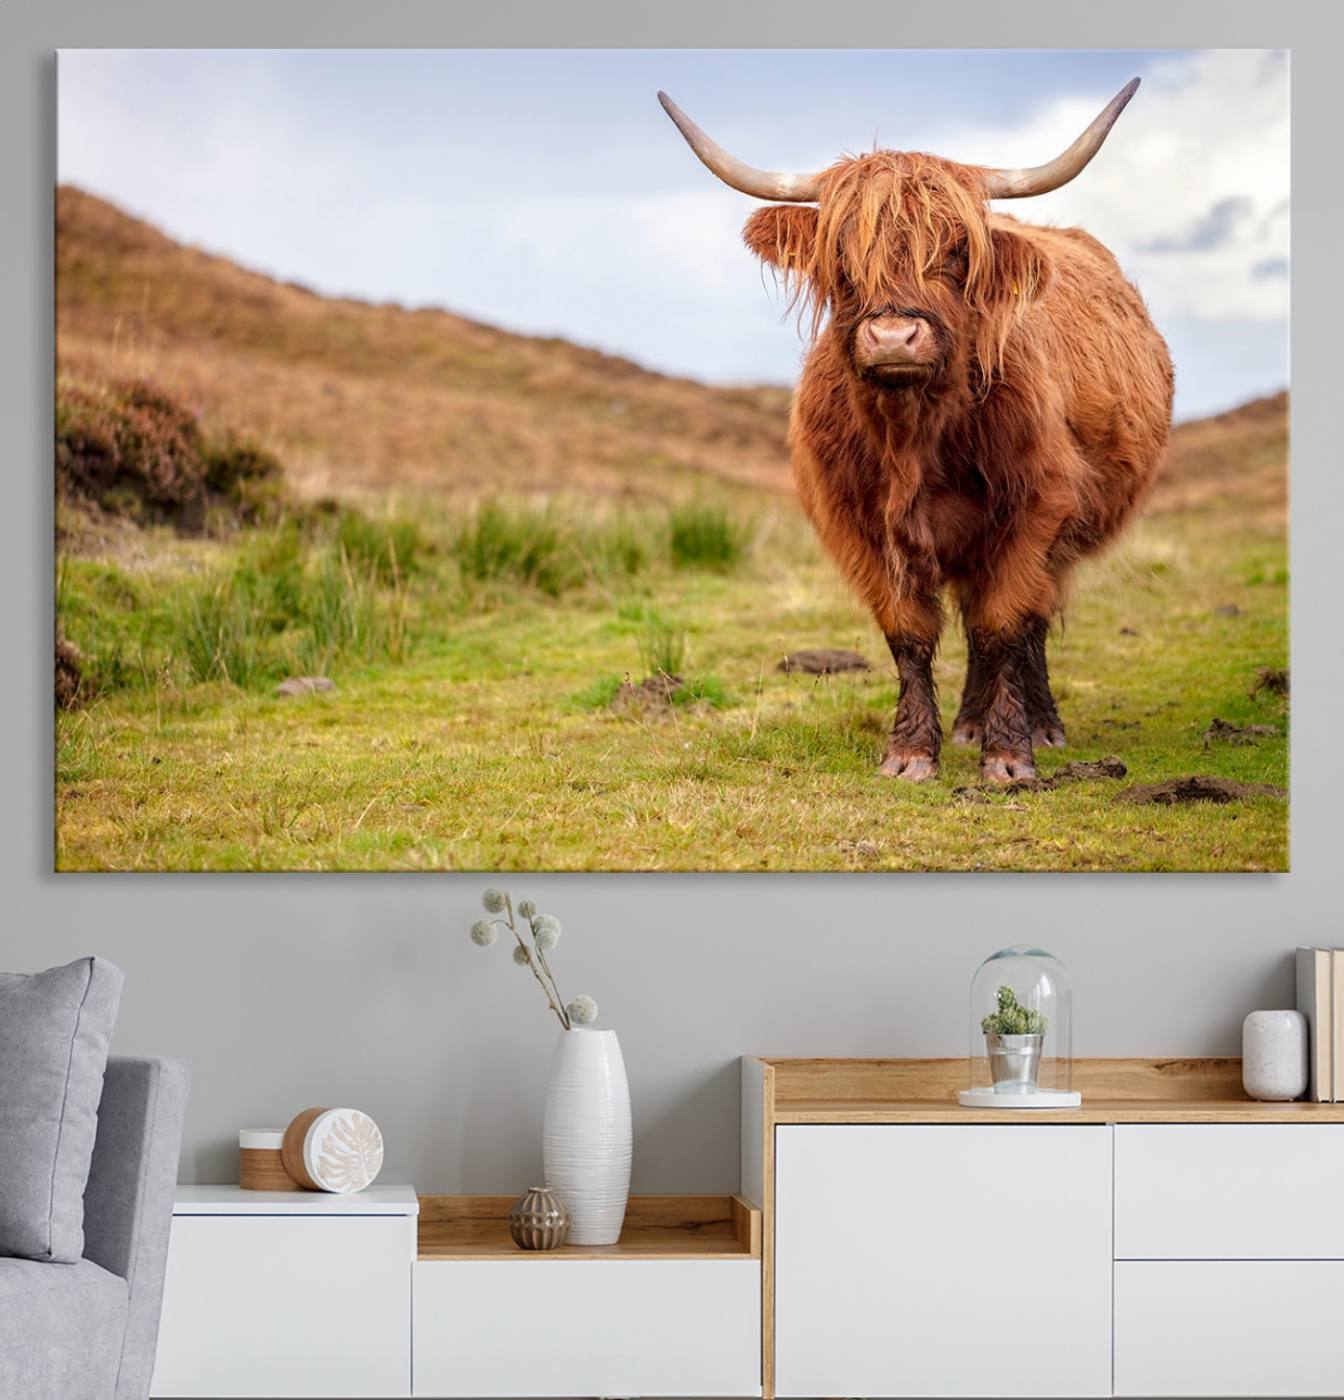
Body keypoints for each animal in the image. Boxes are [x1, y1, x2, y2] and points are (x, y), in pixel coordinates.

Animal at [660, 81, 1173, 783]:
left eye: (956, 252)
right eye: (842, 255)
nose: (894, 337)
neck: (913, 437)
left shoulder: (1036, 510)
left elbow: (1005, 623)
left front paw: (1009, 757)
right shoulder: (859, 525)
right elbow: (909, 633)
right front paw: (909, 753)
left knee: (1027, 623)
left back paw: (1039, 725)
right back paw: (967, 724)